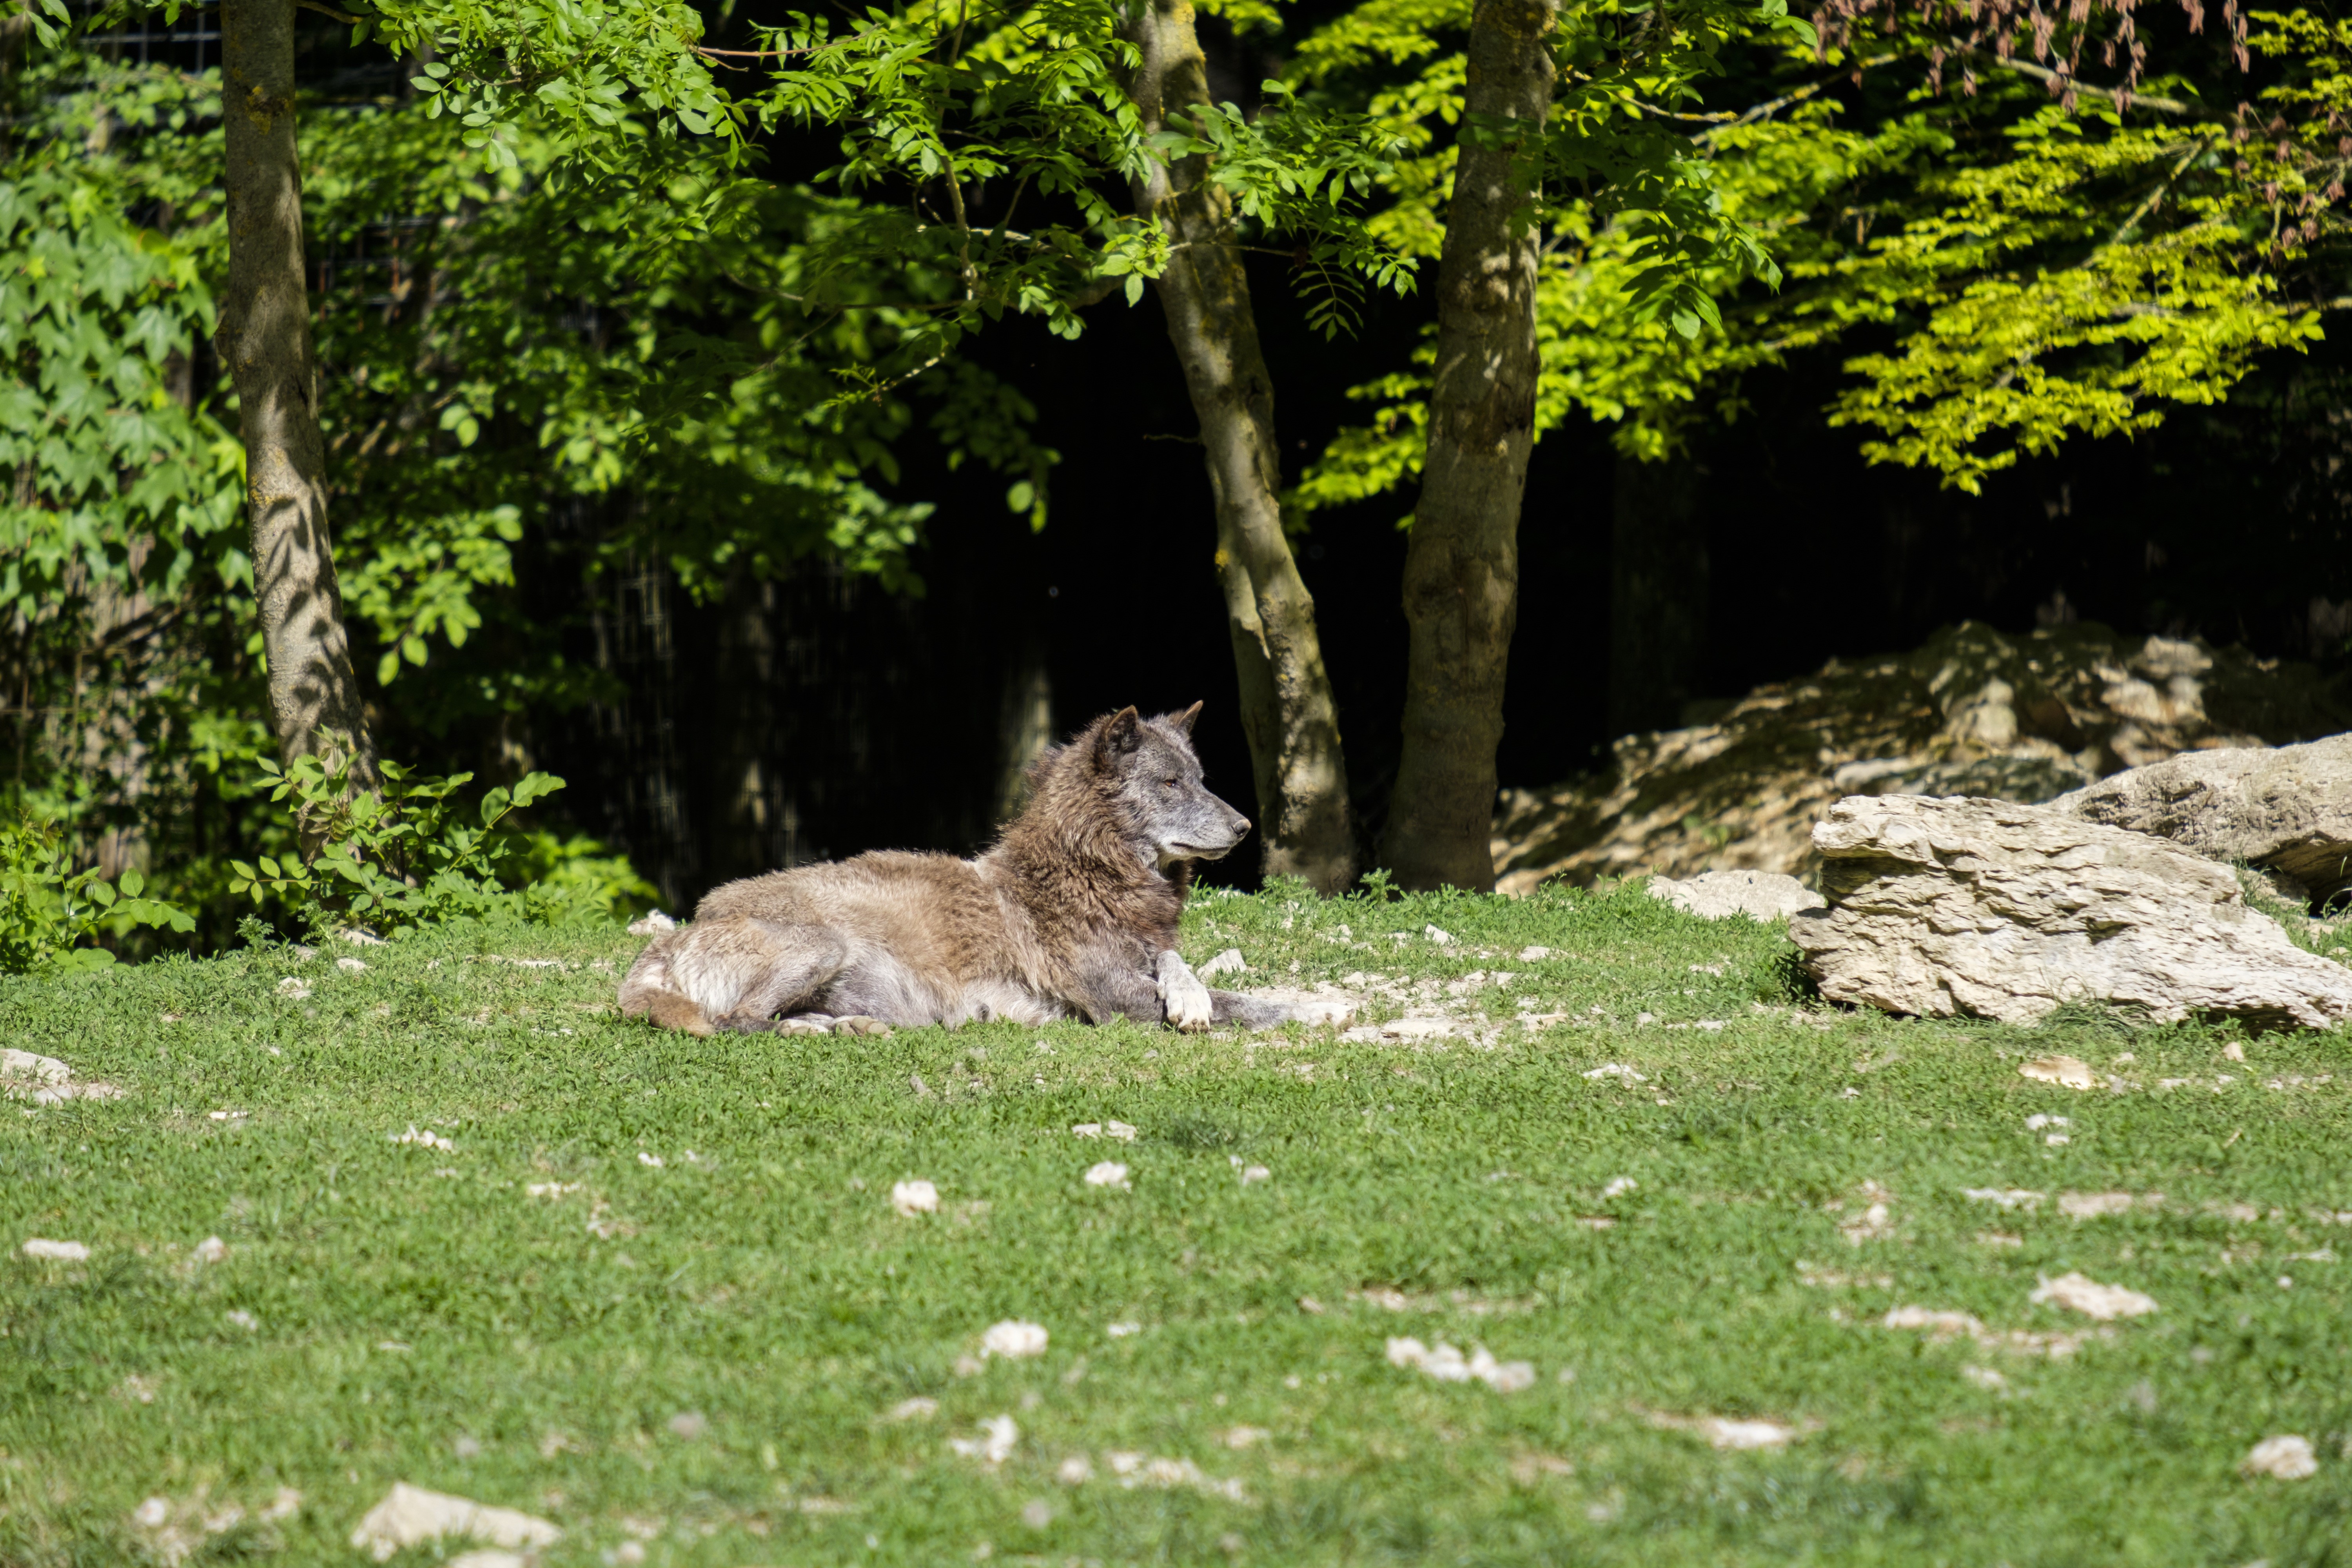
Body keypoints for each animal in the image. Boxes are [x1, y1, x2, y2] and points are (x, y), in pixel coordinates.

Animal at [617, 703, 1301, 1036]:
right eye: (1170, 784)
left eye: (1202, 780)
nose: (1246, 827)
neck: (1087, 873)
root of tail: (678, 934)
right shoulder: (1115, 998)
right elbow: (1251, 1004)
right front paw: (1316, 1012)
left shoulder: (1147, 952)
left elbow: (1184, 967)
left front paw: (1190, 998)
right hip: (823, 944)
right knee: (736, 1021)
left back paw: (850, 1028)